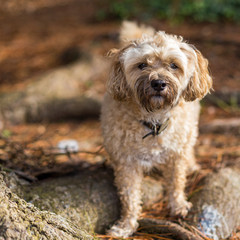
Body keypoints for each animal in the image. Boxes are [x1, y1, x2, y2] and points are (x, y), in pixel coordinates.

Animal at [101, 21, 212, 238]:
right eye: (142, 65)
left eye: (173, 65)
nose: (158, 83)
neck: (154, 122)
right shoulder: (126, 164)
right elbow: (129, 197)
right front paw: (126, 225)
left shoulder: (176, 157)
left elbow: (176, 182)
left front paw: (178, 206)